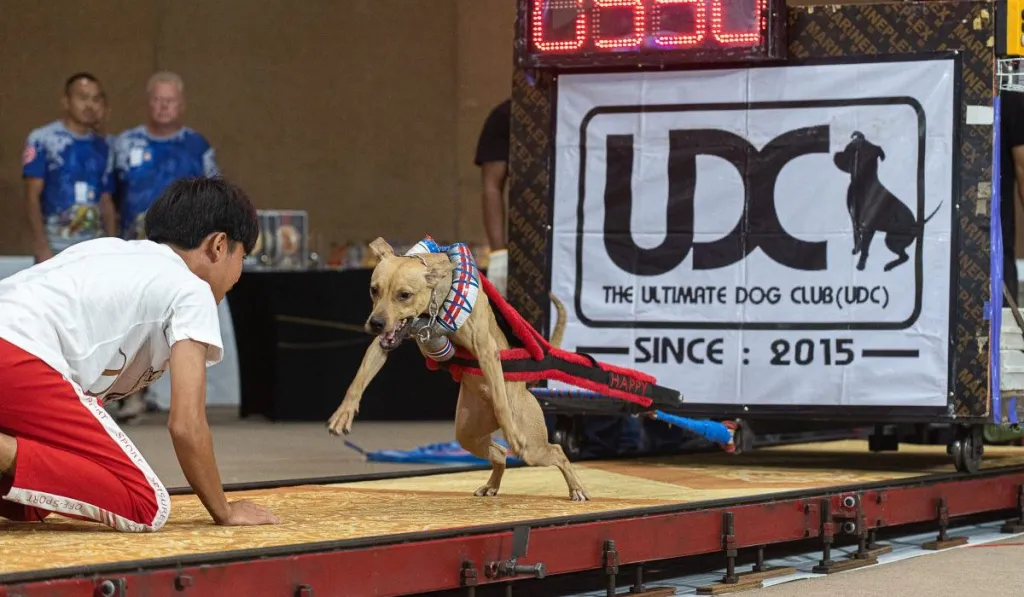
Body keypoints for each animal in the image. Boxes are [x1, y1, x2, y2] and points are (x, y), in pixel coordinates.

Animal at [323, 235, 589, 501]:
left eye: (404, 295)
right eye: (374, 289)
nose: (376, 323)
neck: (432, 306)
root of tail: (526, 387)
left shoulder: (486, 351)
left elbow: (502, 404)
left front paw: (512, 431)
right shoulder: (383, 343)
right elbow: (359, 379)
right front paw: (343, 413)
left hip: (532, 448)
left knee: (557, 451)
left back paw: (576, 487)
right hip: (468, 435)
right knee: (500, 453)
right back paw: (492, 485)